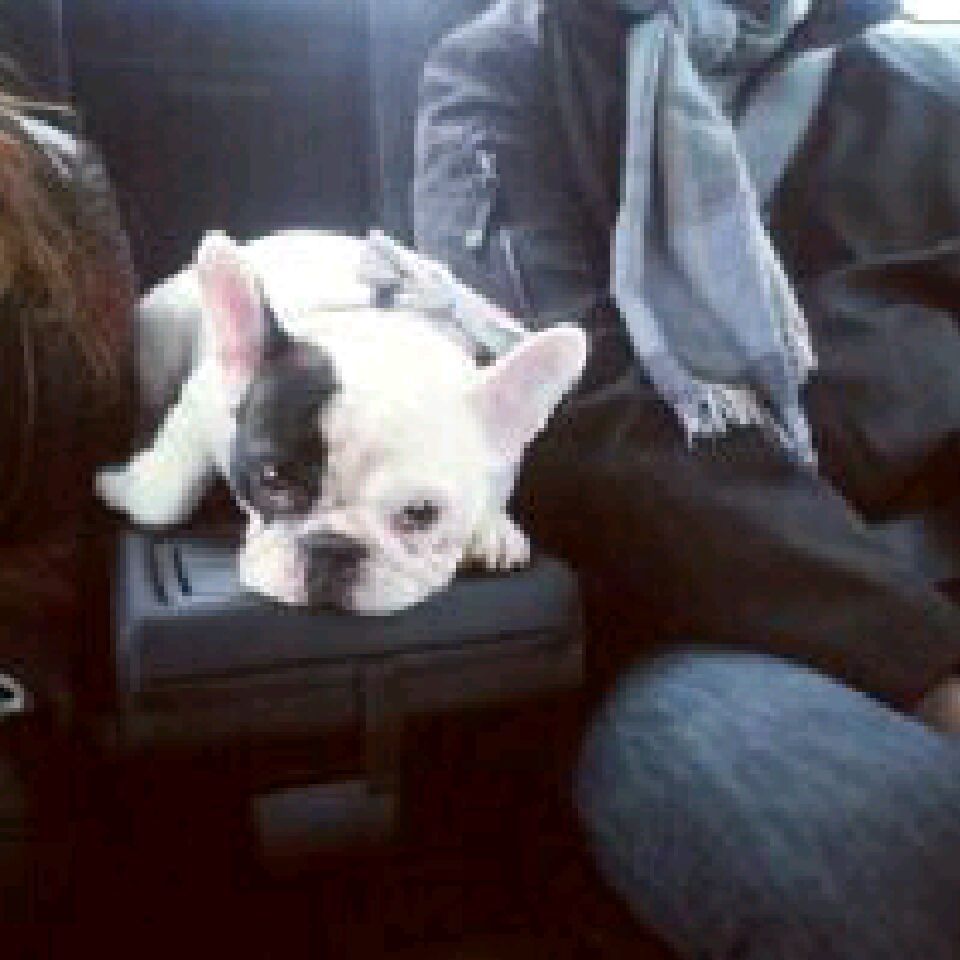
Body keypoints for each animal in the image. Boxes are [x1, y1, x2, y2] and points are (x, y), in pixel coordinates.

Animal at [96, 229, 587, 614]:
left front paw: (492, 528)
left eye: (421, 513)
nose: (331, 548)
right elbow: (166, 497)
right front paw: (119, 484)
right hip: (160, 342)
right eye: (271, 478)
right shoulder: (202, 400)